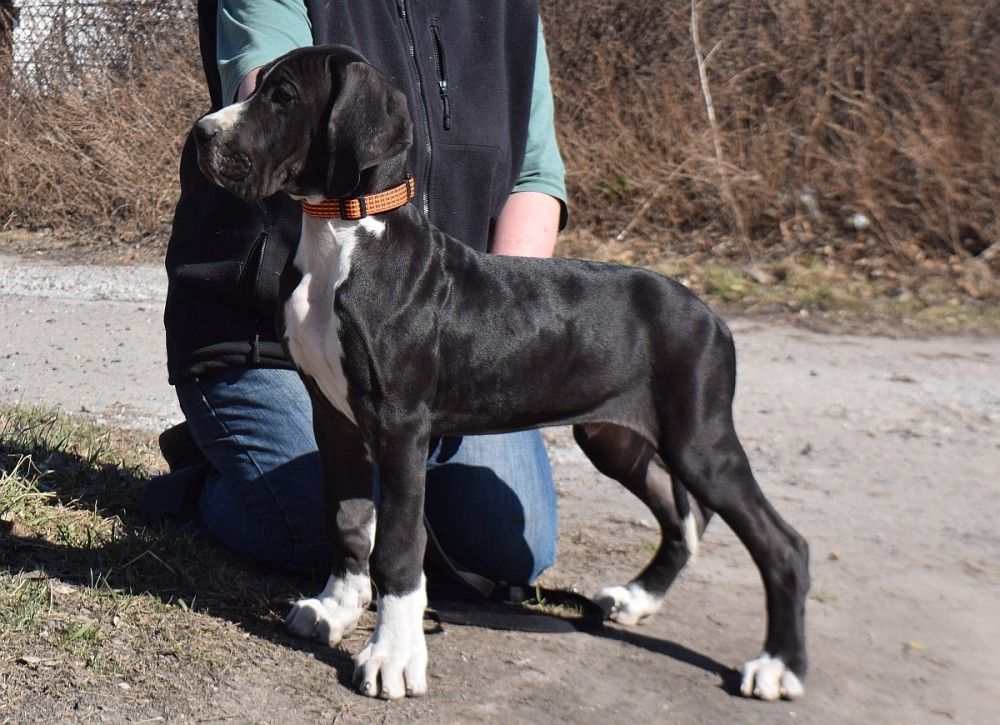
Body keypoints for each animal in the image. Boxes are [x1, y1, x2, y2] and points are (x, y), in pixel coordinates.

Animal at [193, 45, 810, 702]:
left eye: (283, 96)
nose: (200, 134)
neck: (347, 233)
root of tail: (713, 316)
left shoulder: (400, 426)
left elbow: (401, 547)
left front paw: (393, 654)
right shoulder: (335, 417)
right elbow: (349, 519)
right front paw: (337, 607)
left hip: (699, 440)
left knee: (782, 544)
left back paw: (779, 665)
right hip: (617, 436)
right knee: (679, 518)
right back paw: (638, 599)